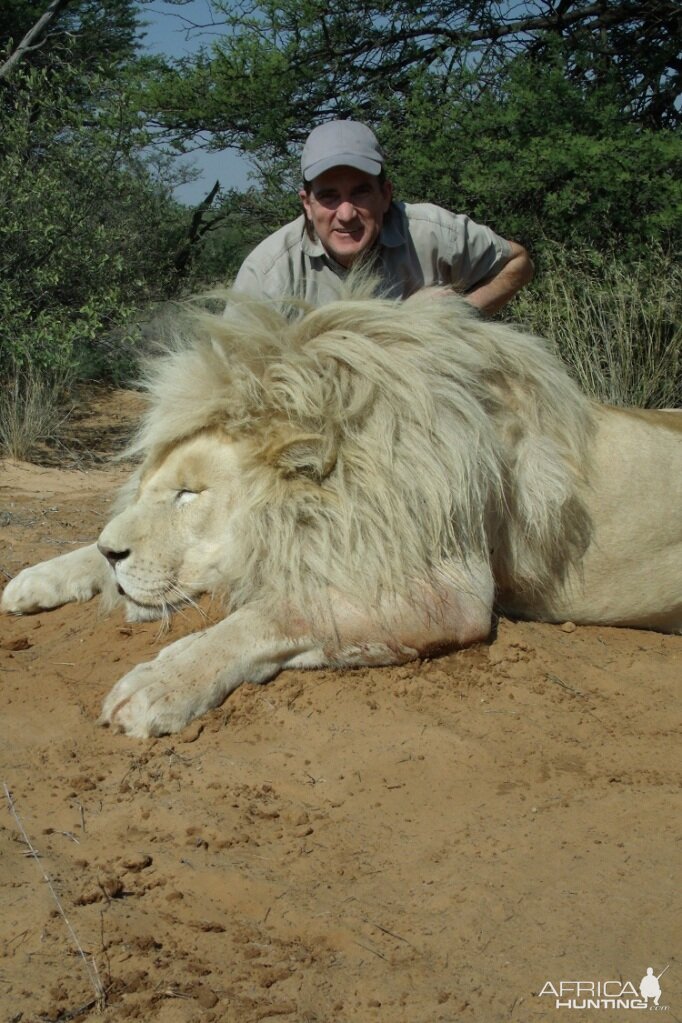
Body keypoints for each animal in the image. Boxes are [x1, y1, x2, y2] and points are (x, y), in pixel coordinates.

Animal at [3, 288, 682, 736]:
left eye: (190, 494)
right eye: (149, 487)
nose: (113, 550)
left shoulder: (443, 589)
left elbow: (274, 614)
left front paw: (158, 684)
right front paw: (37, 579)